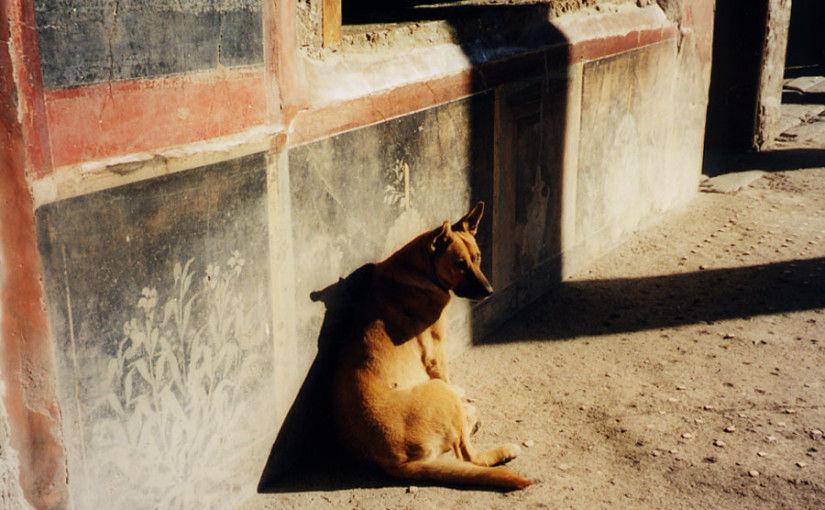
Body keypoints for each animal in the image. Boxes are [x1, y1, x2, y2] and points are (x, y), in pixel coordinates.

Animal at [332, 202, 532, 490]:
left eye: (478, 258)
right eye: (460, 265)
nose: (489, 291)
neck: (418, 269)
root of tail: (396, 462)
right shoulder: (437, 353)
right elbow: (446, 374)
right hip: (439, 393)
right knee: (469, 456)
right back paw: (498, 444)